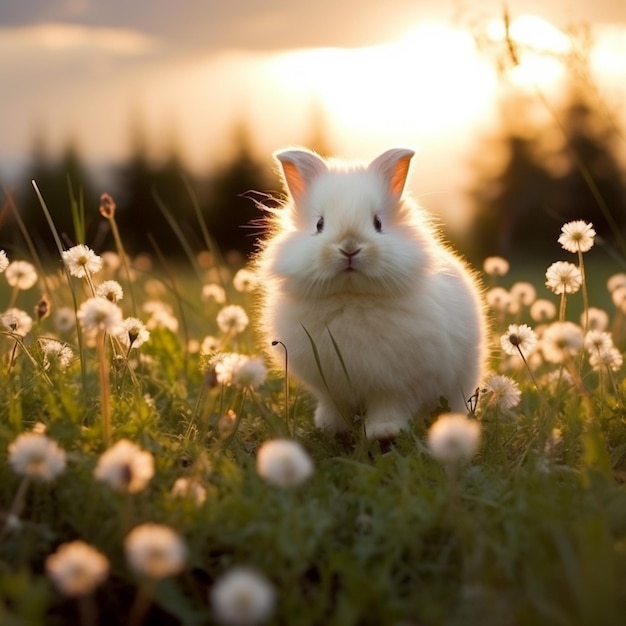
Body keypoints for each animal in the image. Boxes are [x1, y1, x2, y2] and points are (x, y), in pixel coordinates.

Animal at [251, 146, 486, 438]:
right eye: (319, 224)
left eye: (378, 223)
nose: (349, 247)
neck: (351, 297)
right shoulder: (330, 387)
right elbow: (334, 405)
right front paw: (331, 427)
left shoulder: (397, 383)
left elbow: (389, 405)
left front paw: (383, 432)